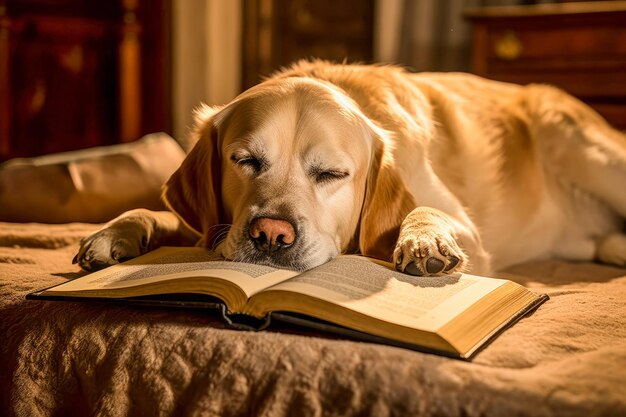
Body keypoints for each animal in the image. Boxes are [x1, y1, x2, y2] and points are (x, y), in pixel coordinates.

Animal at [75, 60, 624, 276]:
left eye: (331, 175)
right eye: (246, 161)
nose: (271, 235)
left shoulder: (472, 236)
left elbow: (427, 211)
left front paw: (424, 241)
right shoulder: (208, 224)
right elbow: (164, 216)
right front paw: (115, 232)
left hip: (579, 143)